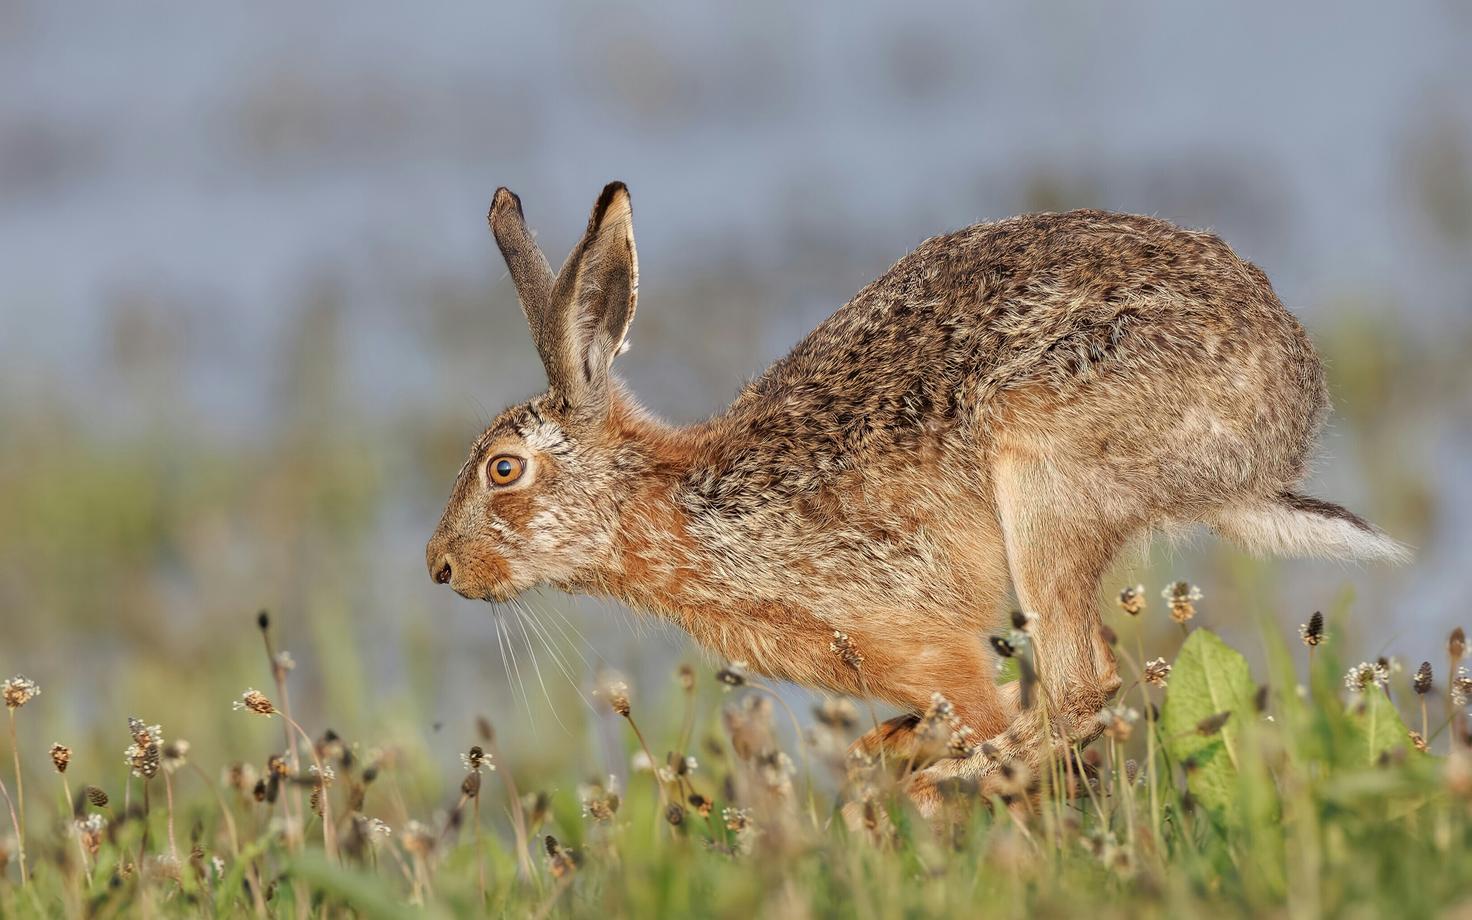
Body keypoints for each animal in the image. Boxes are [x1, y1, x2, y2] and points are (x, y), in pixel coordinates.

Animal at [426, 181, 1406, 814]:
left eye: (504, 470)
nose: (441, 568)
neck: (682, 503)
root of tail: (1277, 427)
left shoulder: (922, 642)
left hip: (1045, 471)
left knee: (1082, 683)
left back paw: (957, 779)